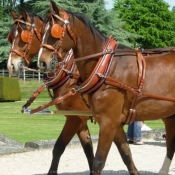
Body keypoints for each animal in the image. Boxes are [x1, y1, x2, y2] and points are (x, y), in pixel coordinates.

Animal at [6, 7, 94, 174]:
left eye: (24, 36)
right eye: (10, 37)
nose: (11, 66)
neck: (70, 74)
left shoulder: (75, 118)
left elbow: (58, 147)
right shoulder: (79, 118)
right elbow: (89, 152)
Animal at [37, 0, 175, 174]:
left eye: (55, 31)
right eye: (42, 31)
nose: (42, 63)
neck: (106, 68)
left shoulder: (106, 123)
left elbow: (98, 162)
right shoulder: (114, 124)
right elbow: (126, 155)